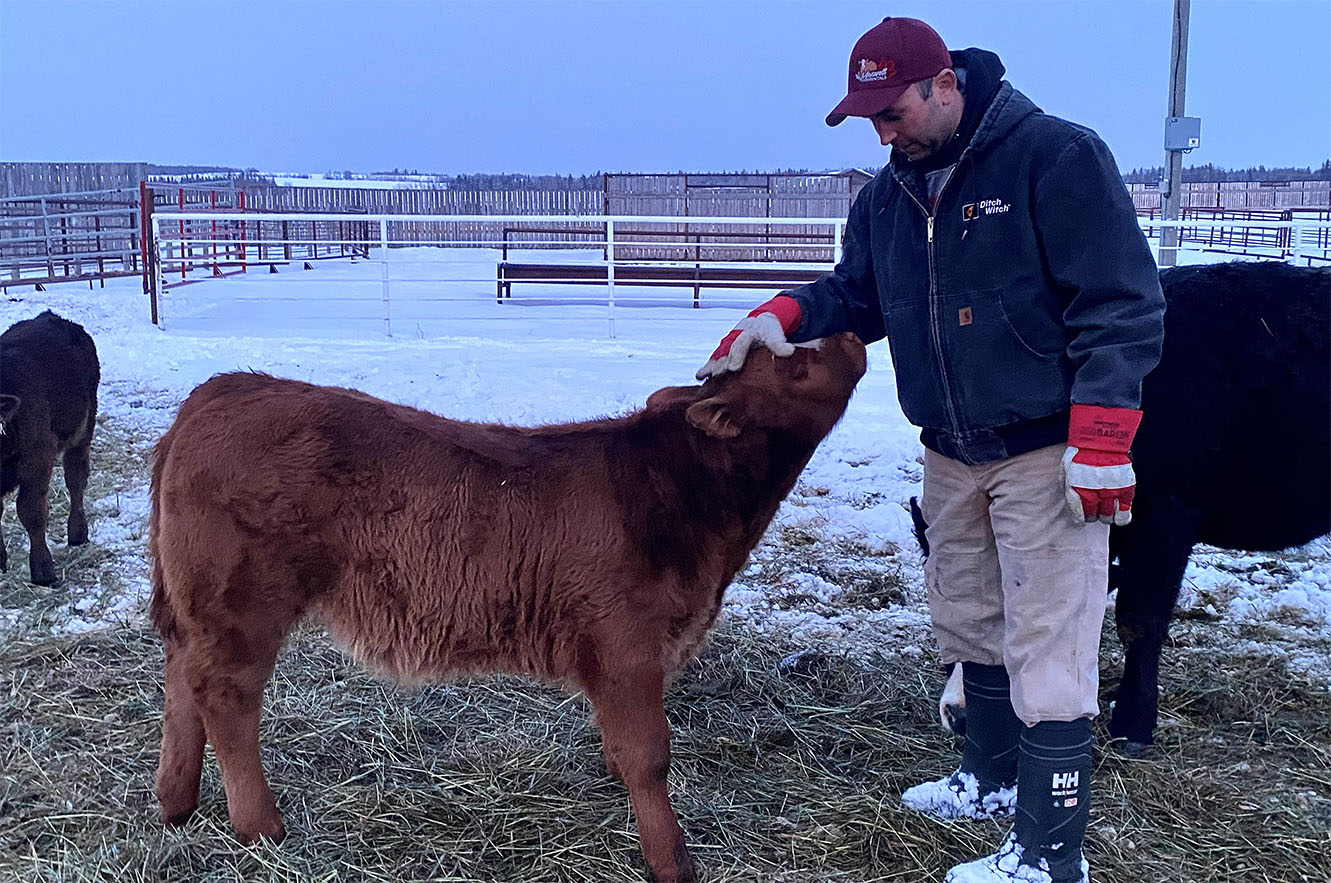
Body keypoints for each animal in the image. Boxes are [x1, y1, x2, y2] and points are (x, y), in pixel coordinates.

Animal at [0, 310, 100, 586]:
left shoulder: (38, 460)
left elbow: (31, 511)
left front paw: (42, 569)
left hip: (83, 428)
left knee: (76, 478)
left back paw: (77, 532)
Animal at [148, 333, 867, 883]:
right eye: (794, 365)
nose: (851, 336)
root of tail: (223, 389)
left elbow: (621, 742)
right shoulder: (627, 644)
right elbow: (650, 753)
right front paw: (672, 860)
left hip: (202, 606)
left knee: (183, 674)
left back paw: (175, 802)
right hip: (242, 601)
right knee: (225, 695)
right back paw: (260, 826)